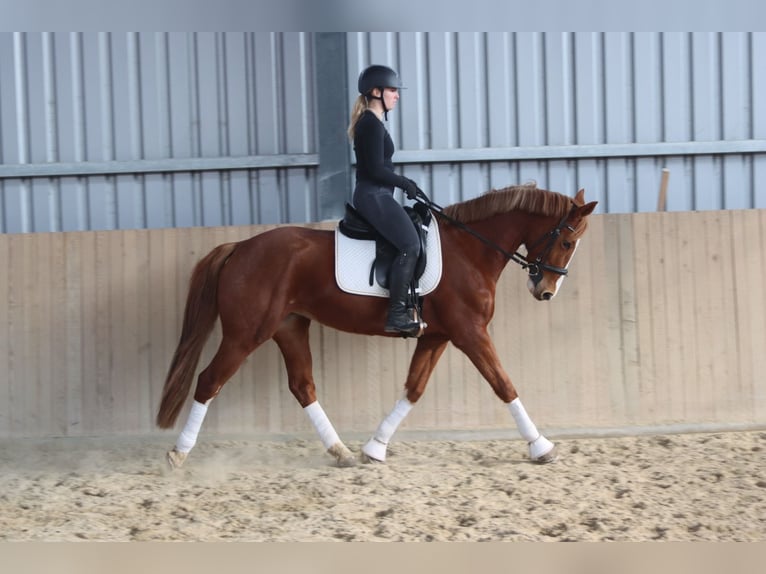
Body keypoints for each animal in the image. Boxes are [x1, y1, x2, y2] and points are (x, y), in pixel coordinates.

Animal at [156, 184, 600, 468]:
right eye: (566, 242)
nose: (545, 291)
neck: (470, 249)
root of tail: (240, 247)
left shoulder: (438, 335)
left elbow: (414, 389)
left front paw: (375, 448)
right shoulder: (470, 333)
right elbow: (503, 384)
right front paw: (541, 446)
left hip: (289, 327)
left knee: (302, 386)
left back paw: (341, 452)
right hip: (246, 334)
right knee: (209, 381)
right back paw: (178, 453)